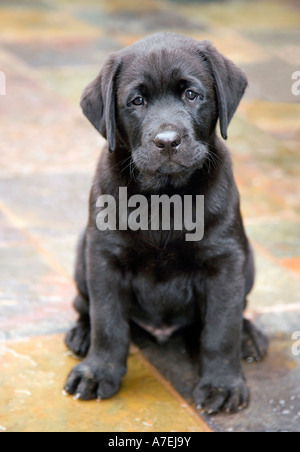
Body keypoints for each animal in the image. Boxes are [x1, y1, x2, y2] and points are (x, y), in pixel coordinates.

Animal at [64, 30, 268, 414]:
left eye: (191, 94)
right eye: (137, 101)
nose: (168, 141)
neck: (165, 196)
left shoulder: (225, 261)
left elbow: (221, 329)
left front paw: (222, 384)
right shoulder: (104, 257)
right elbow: (107, 322)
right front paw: (98, 371)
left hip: (247, 260)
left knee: (238, 311)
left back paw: (248, 337)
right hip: (83, 254)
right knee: (84, 305)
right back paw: (81, 333)